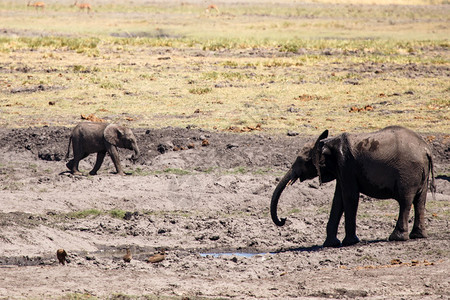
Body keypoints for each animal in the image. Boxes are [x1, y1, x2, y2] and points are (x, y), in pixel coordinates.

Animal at [270, 125, 436, 247]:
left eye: (302, 160)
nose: (283, 219)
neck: (327, 143)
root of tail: (426, 150)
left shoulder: (346, 165)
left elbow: (349, 197)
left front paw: (350, 242)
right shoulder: (341, 170)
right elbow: (338, 200)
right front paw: (330, 244)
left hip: (408, 172)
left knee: (405, 201)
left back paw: (396, 238)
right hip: (420, 172)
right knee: (420, 201)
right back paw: (418, 236)